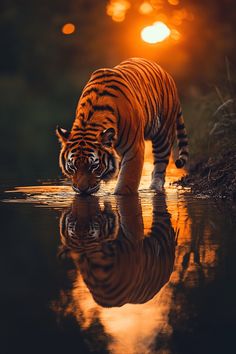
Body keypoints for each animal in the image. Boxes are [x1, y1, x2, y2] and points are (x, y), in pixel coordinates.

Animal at [56, 57, 188, 195]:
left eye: (94, 166)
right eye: (72, 166)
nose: (82, 190)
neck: (89, 120)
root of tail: (167, 75)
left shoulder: (134, 148)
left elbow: (127, 181)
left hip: (163, 135)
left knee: (160, 165)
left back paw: (154, 187)